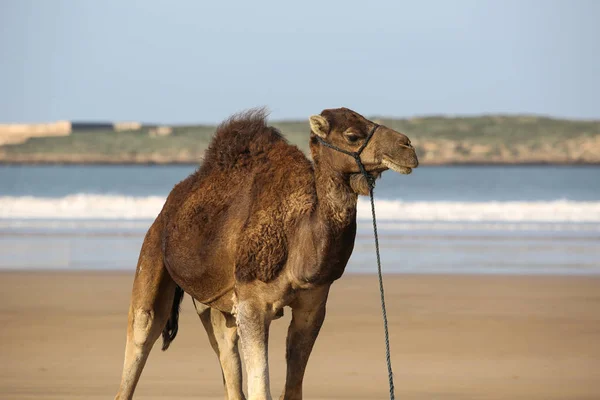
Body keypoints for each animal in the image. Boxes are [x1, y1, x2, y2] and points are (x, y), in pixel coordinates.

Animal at [115, 107, 420, 400]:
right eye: (352, 135)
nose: (407, 147)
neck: (298, 238)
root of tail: (170, 204)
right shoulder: (252, 303)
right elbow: (261, 390)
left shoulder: (312, 304)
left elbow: (292, 389)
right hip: (153, 250)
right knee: (143, 329)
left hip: (211, 300)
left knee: (227, 357)